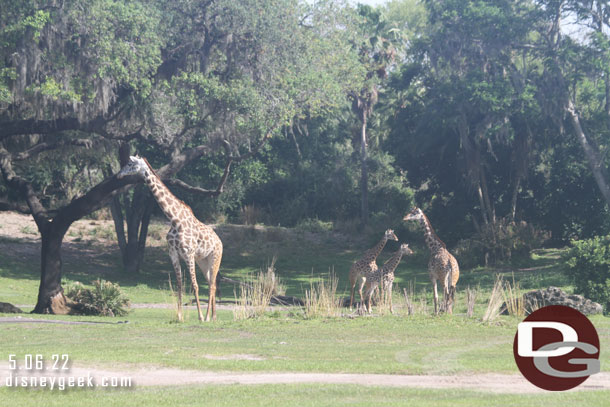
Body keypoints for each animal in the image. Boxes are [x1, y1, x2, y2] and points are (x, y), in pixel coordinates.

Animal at [116, 155, 223, 322]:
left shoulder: (188, 253)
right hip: (203, 261)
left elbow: (195, 285)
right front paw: (179, 317)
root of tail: (220, 241)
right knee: (212, 283)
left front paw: (199, 316)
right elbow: (179, 284)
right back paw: (213, 316)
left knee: (211, 285)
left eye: (130, 163)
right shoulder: (173, 253)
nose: (118, 175)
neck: (174, 220)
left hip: (215, 257)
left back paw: (207, 317)